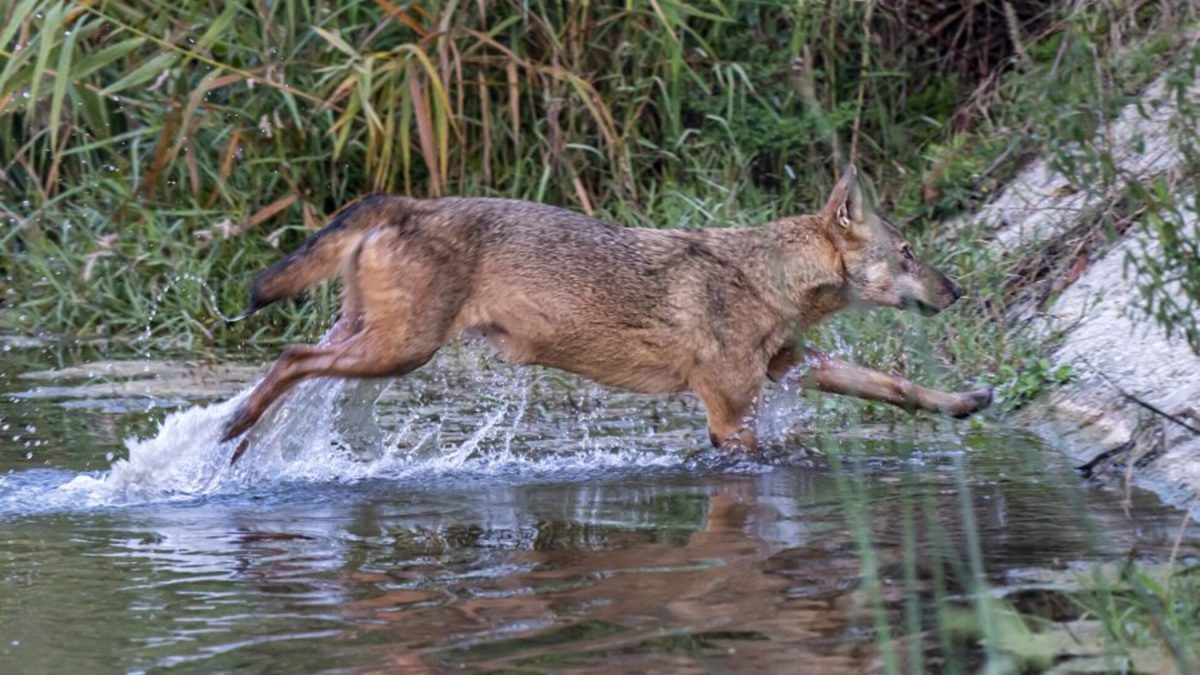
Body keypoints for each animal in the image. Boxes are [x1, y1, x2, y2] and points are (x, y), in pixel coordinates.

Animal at [223, 165, 993, 458]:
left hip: (375, 344)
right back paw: (234, 430)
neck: (767, 276)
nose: (959, 292)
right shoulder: (729, 417)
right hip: (399, 351)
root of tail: (407, 202)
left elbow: (895, 386)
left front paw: (966, 401)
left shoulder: (791, 366)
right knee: (289, 359)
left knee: (299, 368)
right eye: (909, 251)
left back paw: (240, 446)